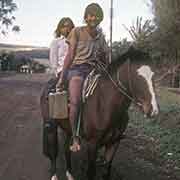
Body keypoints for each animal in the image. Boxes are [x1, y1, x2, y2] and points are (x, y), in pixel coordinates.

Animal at [39, 47, 159, 180]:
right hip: (51, 127)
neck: (104, 104)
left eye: (153, 75)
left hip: (68, 128)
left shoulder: (114, 143)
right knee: (53, 151)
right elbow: (91, 172)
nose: (153, 110)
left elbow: (107, 170)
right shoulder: (92, 144)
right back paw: (54, 175)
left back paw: (70, 174)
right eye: (137, 76)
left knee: (66, 149)